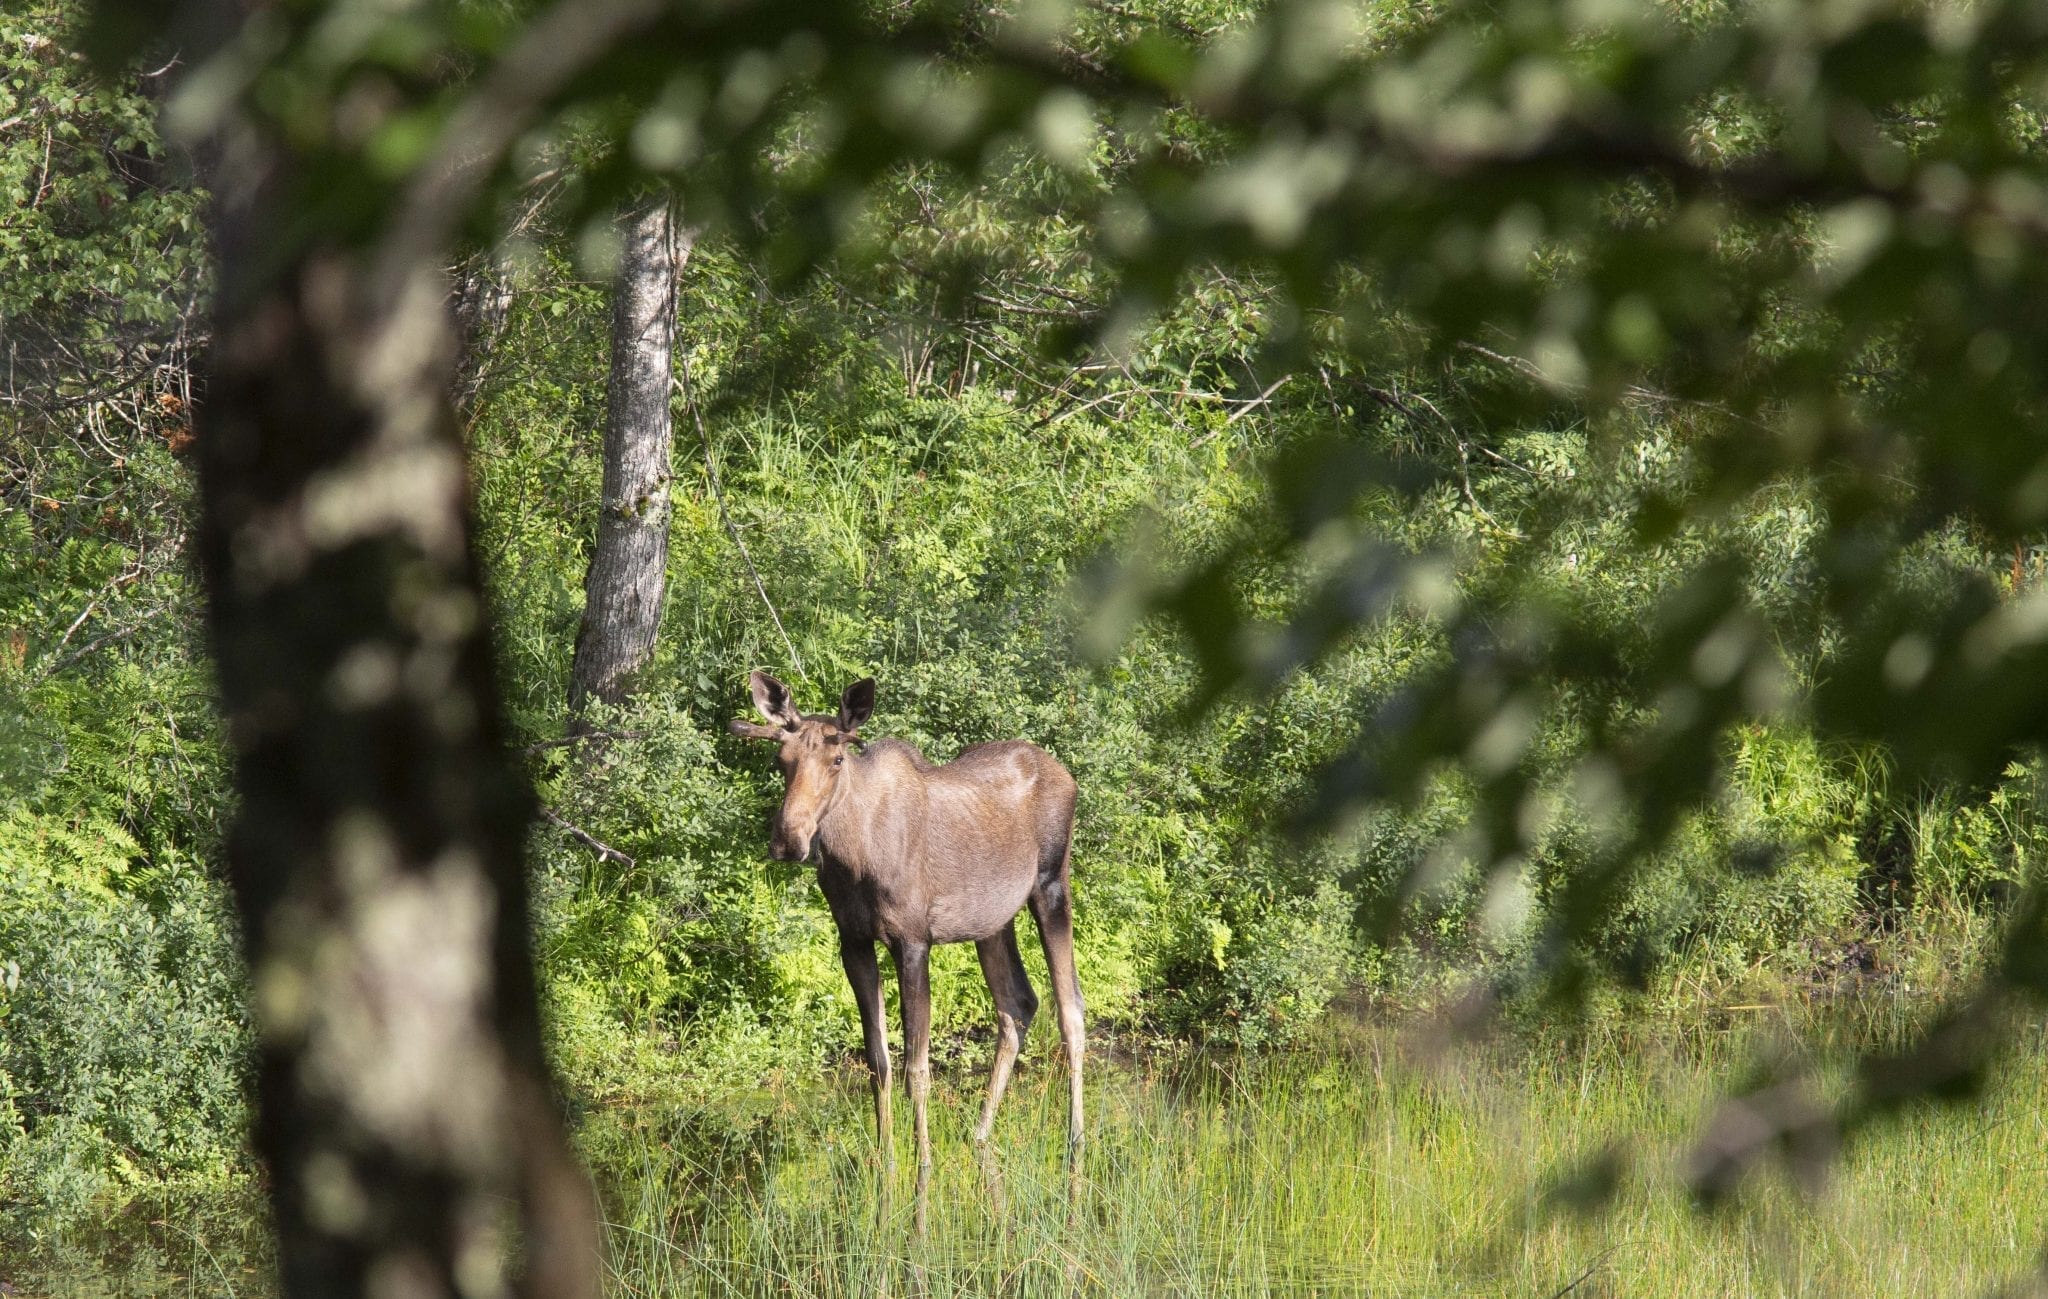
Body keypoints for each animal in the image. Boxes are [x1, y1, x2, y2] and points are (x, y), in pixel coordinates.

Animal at [729, 670, 1085, 1176]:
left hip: (1051, 885)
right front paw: (887, 1156)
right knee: (1018, 1004)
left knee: (1070, 1009)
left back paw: (1076, 1139)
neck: (853, 859)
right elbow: (878, 1059)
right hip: (993, 922)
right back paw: (980, 1132)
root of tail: (1067, 775)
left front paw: (924, 1162)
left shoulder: (913, 941)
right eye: (782, 761)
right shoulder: (853, 942)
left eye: (837, 759)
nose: (787, 841)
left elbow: (917, 1066)